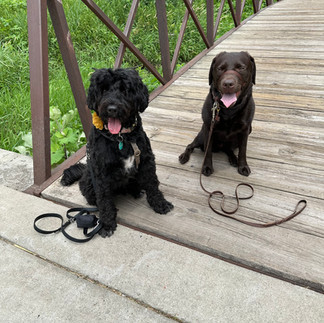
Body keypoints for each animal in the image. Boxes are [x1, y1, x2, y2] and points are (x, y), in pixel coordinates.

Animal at [60, 68, 172, 238]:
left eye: (125, 90)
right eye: (104, 89)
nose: (112, 109)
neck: (120, 137)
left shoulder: (146, 161)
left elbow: (153, 184)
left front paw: (160, 204)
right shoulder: (101, 173)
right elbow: (105, 200)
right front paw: (106, 224)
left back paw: (136, 191)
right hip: (89, 182)